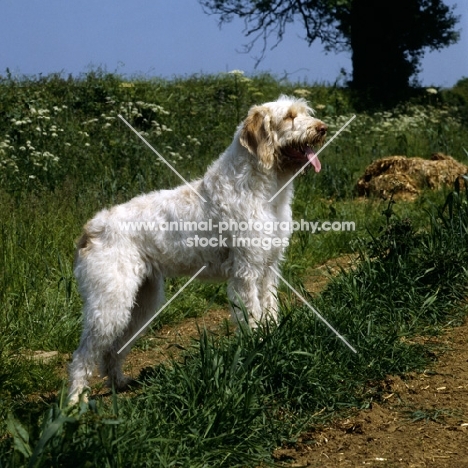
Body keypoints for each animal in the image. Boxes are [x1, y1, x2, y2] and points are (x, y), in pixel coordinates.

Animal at [67, 95, 328, 402]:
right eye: (289, 117)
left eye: (304, 112)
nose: (322, 128)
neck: (262, 188)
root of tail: (90, 228)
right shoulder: (246, 273)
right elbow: (252, 316)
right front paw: (260, 348)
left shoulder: (268, 270)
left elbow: (270, 311)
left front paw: (274, 339)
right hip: (110, 305)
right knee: (82, 355)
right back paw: (75, 401)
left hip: (142, 303)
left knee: (112, 350)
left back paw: (119, 383)